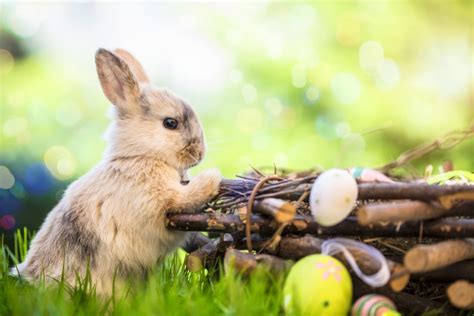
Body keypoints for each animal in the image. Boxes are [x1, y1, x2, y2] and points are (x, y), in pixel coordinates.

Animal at [13, 47, 221, 296]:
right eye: (171, 123)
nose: (200, 154)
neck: (140, 156)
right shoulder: (160, 201)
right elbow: (185, 198)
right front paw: (214, 177)